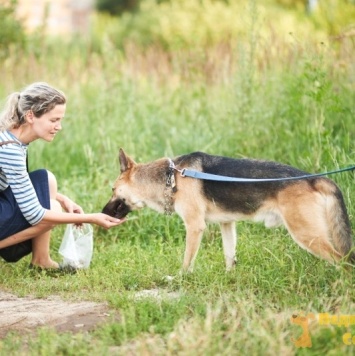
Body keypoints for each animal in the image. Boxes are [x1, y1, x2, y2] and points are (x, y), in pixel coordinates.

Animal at [101, 149, 354, 272]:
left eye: (113, 189)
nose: (102, 211)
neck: (172, 178)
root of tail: (315, 179)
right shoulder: (227, 224)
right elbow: (229, 257)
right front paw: (229, 279)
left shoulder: (195, 227)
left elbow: (187, 262)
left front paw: (179, 279)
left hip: (306, 235)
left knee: (342, 260)